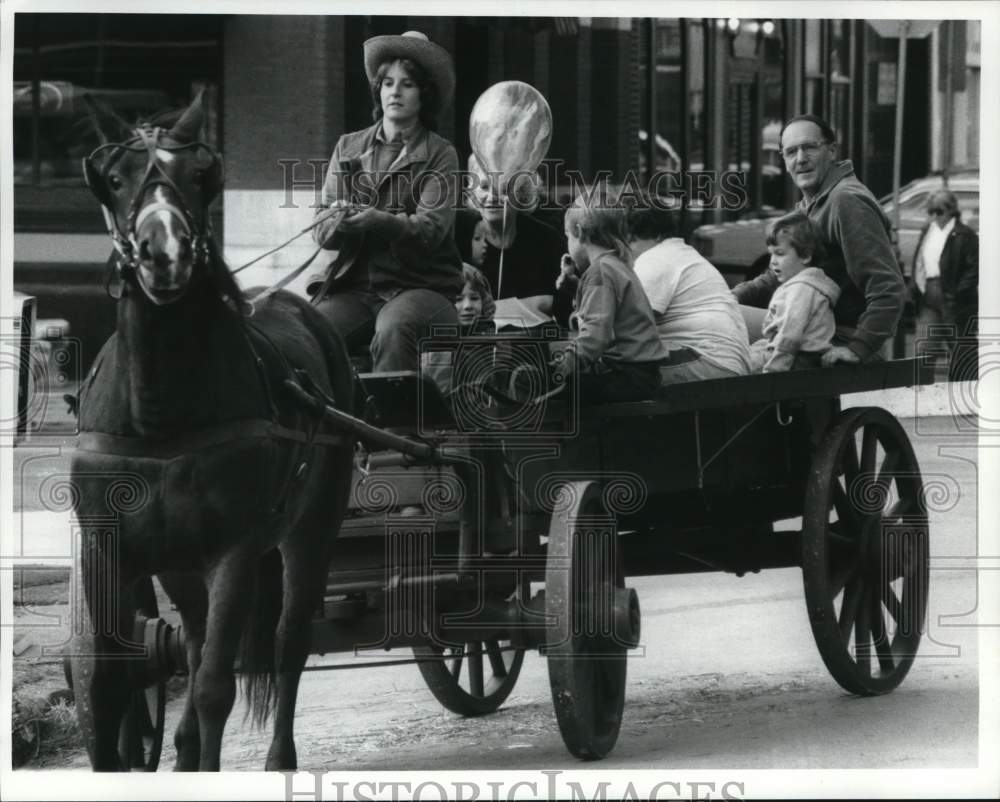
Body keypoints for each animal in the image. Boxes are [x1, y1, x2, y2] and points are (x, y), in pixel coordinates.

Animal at [68, 94, 356, 768]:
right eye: (114, 178)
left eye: (200, 175)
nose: (164, 251)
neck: (158, 416)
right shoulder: (107, 547)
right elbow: (108, 679)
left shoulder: (235, 551)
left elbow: (215, 687)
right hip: (177, 563)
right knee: (193, 642)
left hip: (311, 528)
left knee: (287, 641)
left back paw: (278, 758)